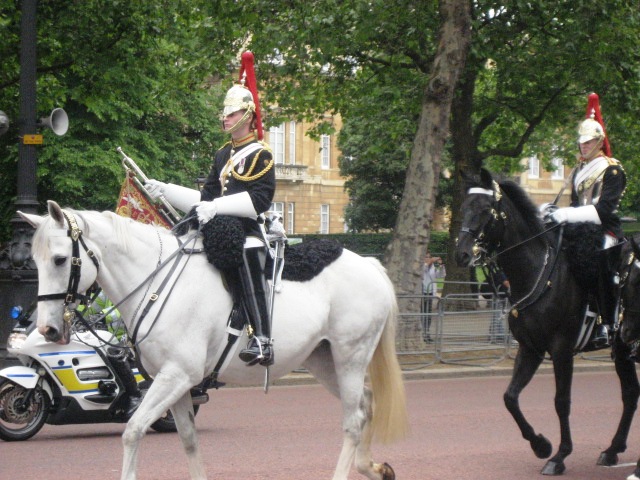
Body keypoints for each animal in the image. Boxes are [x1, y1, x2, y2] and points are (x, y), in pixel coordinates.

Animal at [22, 201, 410, 478]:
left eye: (60, 259)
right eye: (34, 260)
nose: (48, 330)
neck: (156, 282)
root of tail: (370, 264)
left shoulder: (177, 375)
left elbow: (132, 431)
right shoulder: (174, 382)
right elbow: (189, 441)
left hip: (350, 356)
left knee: (352, 421)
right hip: (324, 360)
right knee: (366, 404)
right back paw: (373, 467)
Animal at [456, 169, 640, 476]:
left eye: (485, 209)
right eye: (462, 208)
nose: (462, 254)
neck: (537, 272)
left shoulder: (561, 349)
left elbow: (561, 402)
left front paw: (559, 456)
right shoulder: (530, 348)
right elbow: (510, 397)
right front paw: (540, 445)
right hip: (623, 349)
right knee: (630, 394)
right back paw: (613, 450)